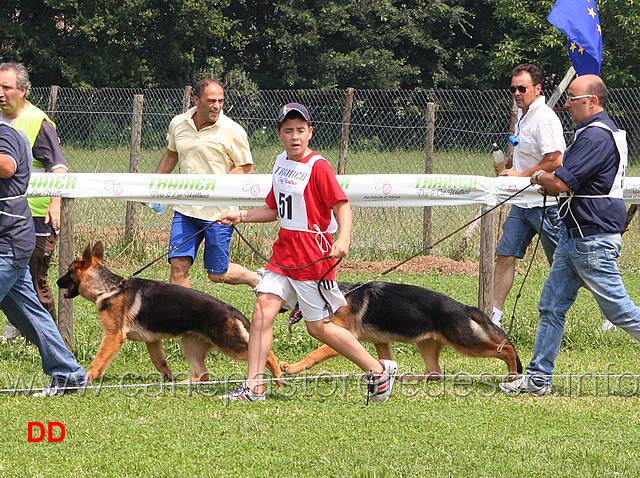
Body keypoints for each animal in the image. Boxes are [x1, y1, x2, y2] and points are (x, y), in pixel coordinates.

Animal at [57, 243, 282, 384]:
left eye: (68, 271)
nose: (58, 282)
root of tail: (233, 311)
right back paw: (180, 384)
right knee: (202, 374)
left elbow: (99, 360)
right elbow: (160, 362)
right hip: (190, 345)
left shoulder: (113, 337)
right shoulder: (152, 341)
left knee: (267, 354)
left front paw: (87, 378)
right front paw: (168, 377)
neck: (109, 288)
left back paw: (279, 377)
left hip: (229, 345)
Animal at [280, 282, 520, 380]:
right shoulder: (381, 342)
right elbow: (385, 361)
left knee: (507, 349)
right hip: (427, 345)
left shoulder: (342, 337)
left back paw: (512, 376)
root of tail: (463, 307)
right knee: (434, 373)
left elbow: (314, 354)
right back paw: (410, 379)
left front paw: (292, 368)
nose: (280, 308)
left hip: (466, 344)